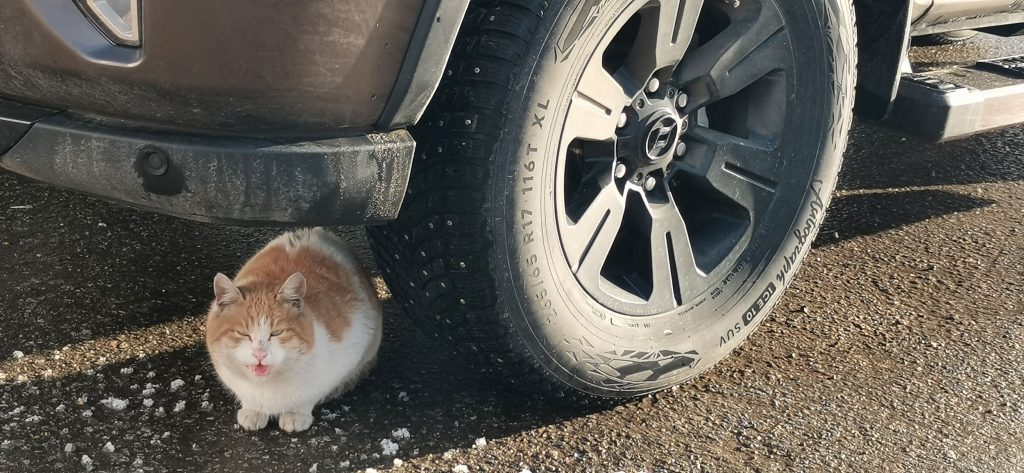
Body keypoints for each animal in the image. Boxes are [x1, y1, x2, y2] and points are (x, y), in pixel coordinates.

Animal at [205, 228, 382, 432]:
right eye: (243, 333)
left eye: (277, 332)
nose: (259, 353)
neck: (267, 387)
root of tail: (319, 230)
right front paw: (254, 411)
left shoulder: (356, 338)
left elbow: (309, 396)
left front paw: (295, 414)